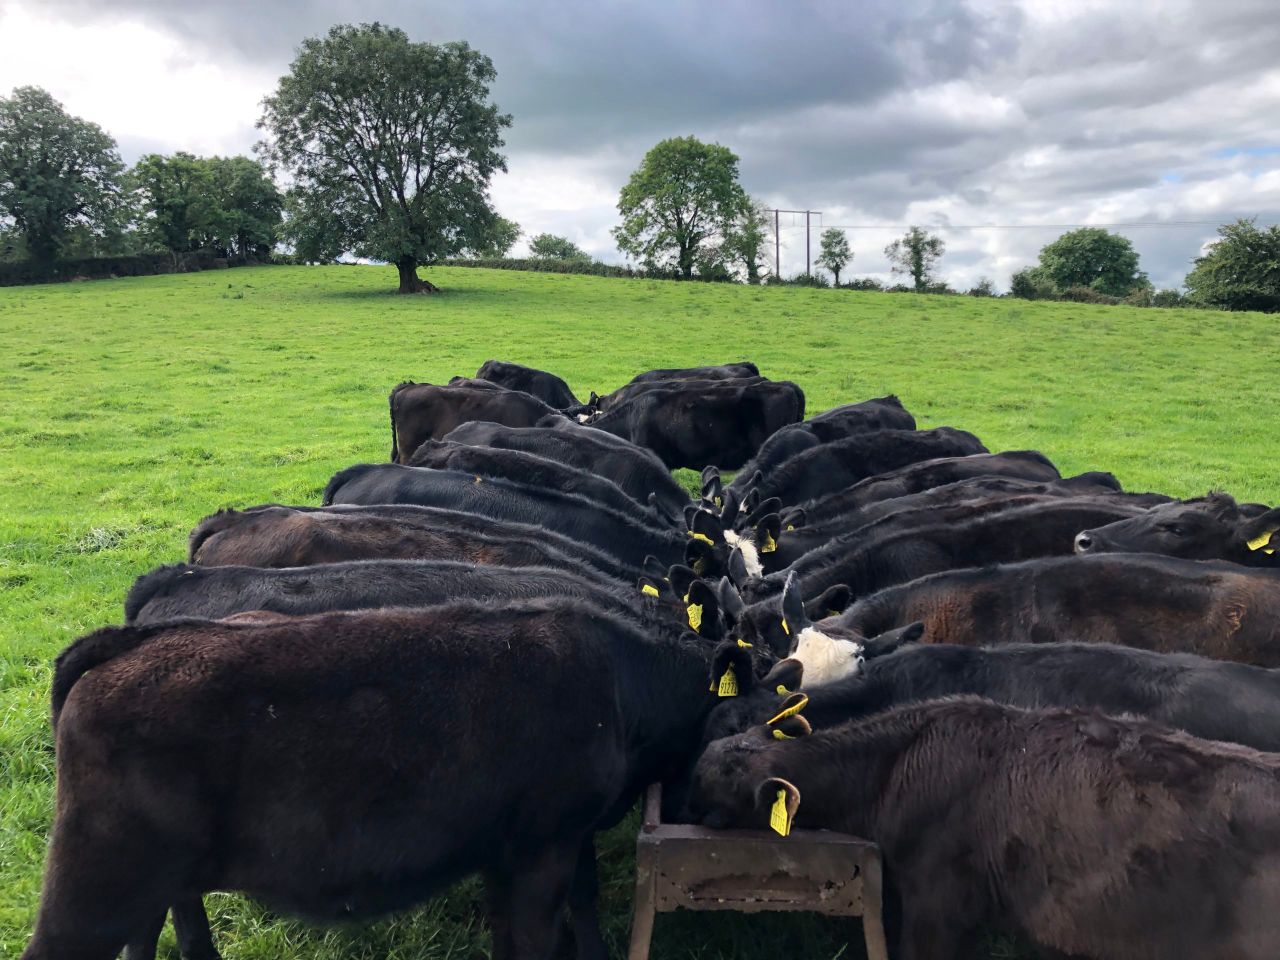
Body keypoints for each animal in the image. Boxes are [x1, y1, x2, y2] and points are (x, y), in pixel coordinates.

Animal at [21, 599, 725, 960]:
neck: (620, 681)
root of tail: (131, 639)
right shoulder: (545, 845)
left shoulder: (513, 850)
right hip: (93, 883)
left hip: (151, 881)